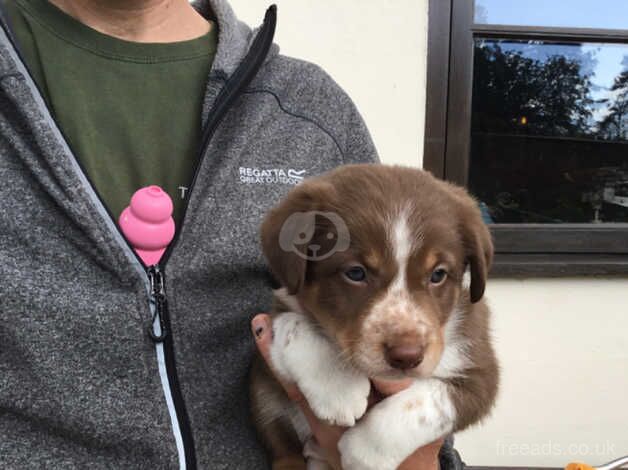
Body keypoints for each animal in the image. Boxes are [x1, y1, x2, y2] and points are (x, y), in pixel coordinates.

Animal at [250, 163, 500, 468]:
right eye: (355, 273)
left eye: (438, 274)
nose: (406, 356)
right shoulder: (272, 342)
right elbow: (293, 325)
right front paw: (339, 389)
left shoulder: (479, 371)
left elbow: (428, 403)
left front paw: (363, 451)